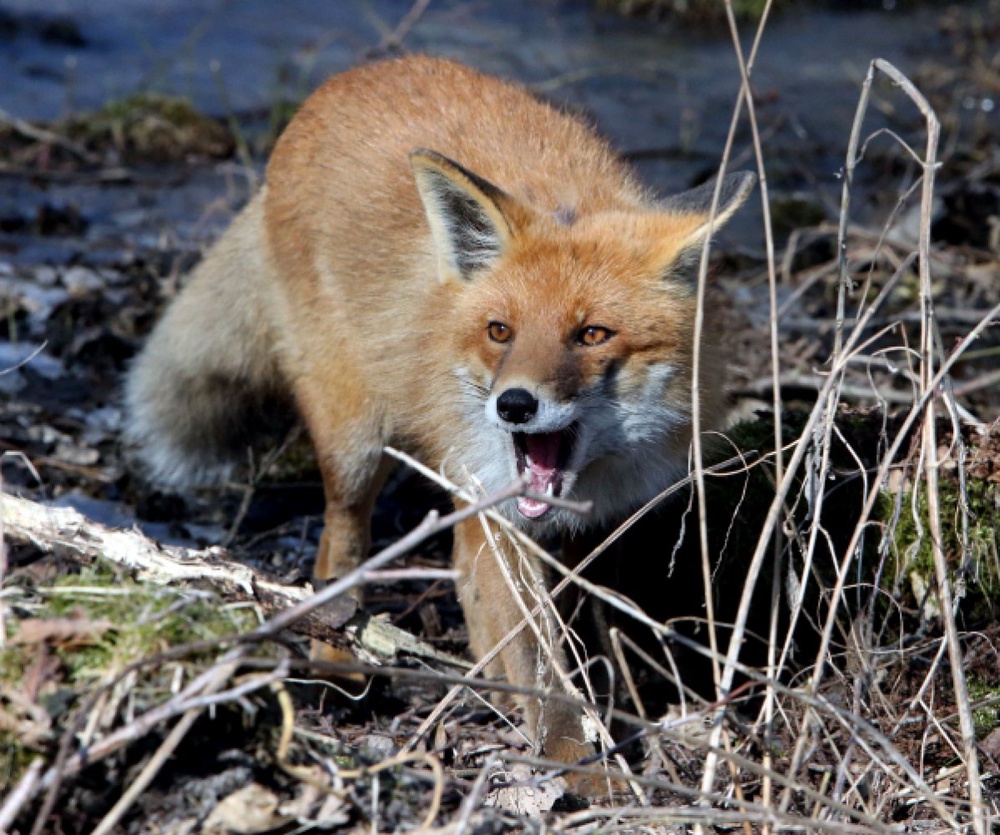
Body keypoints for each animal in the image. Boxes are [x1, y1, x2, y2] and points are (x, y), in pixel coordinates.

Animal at [123, 55, 752, 792]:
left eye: (592, 334)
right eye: (500, 331)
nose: (514, 405)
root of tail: (347, 80)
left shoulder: (583, 526)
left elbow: (577, 631)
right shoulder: (488, 518)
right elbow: (541, 668)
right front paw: (584, 769)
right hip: (355, 445)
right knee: (336, 551)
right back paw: (339, 665)